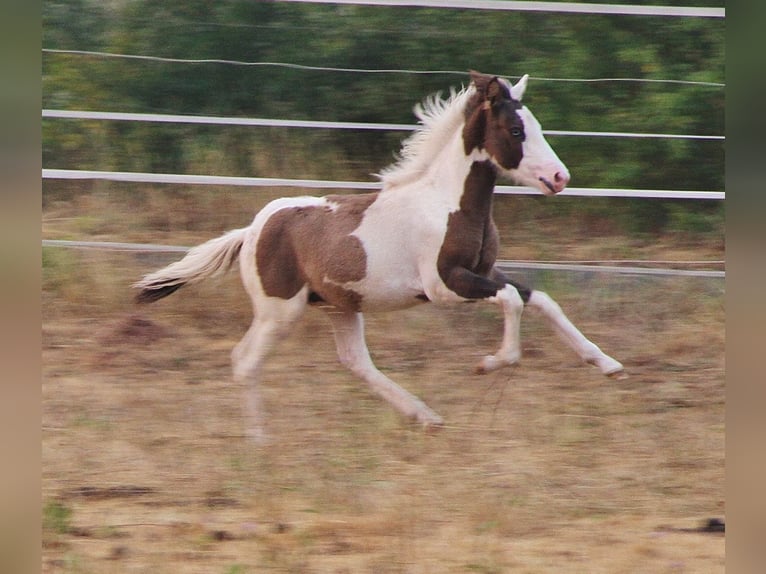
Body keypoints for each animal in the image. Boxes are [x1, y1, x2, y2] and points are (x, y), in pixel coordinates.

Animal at [134, 71, 625, 441]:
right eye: (517, 131)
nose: (559, 177)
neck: (446, 203)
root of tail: (253, 229)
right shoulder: (444, 285)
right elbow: (510, 301)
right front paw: (488, 363)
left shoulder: (484, 271)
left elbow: (539, 299)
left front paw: (609, 366)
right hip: (280, 311)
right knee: (245, 360)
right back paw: (259, 442)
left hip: (339, 307)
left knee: (356, 363)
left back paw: (426, 417)